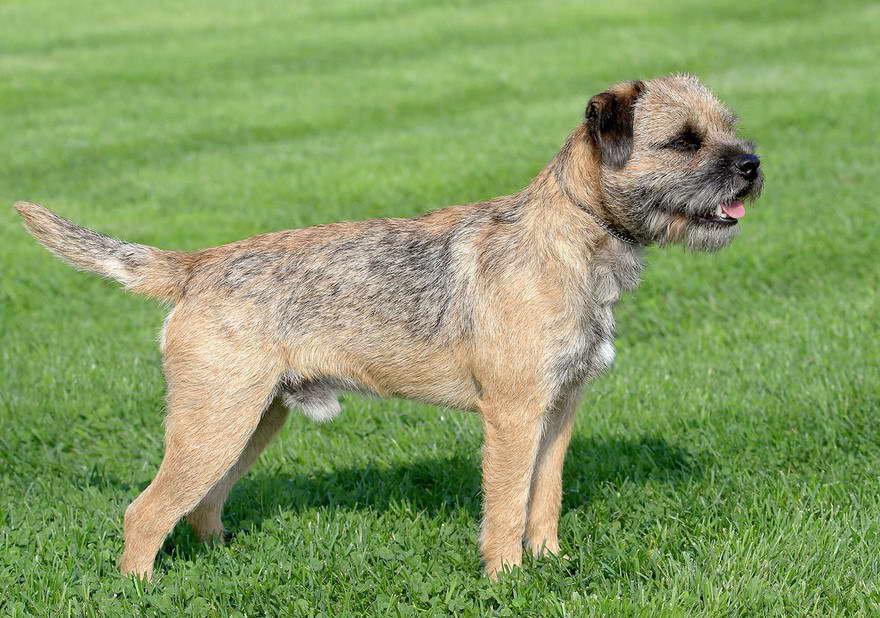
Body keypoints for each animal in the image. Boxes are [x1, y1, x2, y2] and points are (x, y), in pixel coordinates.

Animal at [13, 72, 760, 576]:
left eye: (728, 125)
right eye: (684, 142)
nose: (752, 165)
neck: (572, 238)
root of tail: (197, 265)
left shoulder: (560, 408)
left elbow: (543, 497)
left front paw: (548, 562)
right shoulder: (515, 414)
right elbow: (507, 504)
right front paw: (507, 577)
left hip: (251, 419)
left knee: (200, 504)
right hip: (215, 419)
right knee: (145, 511)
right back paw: (140, 588)